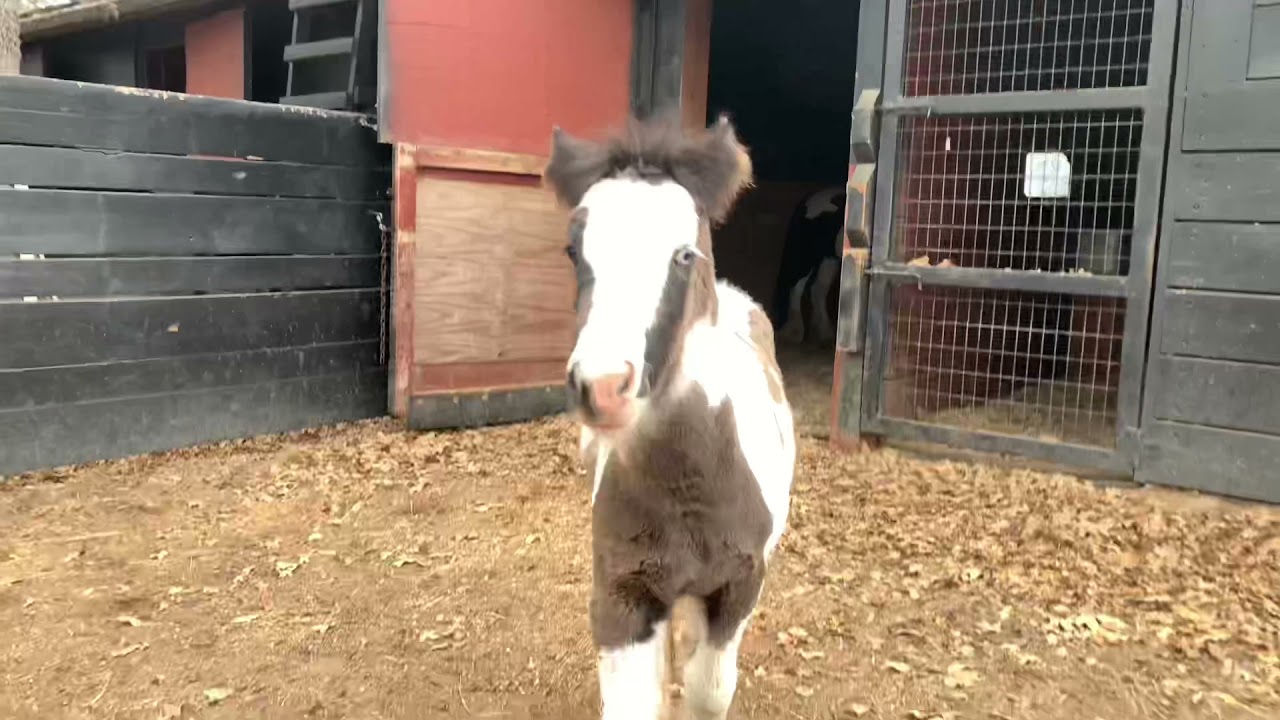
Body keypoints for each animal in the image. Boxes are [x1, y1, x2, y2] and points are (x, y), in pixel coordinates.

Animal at [543, 115, 797, 720]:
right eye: (572, 249)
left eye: (684, 255)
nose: (603, 386)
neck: (688, 488)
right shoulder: (623, 591)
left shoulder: (739, 586)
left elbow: (710, 691)